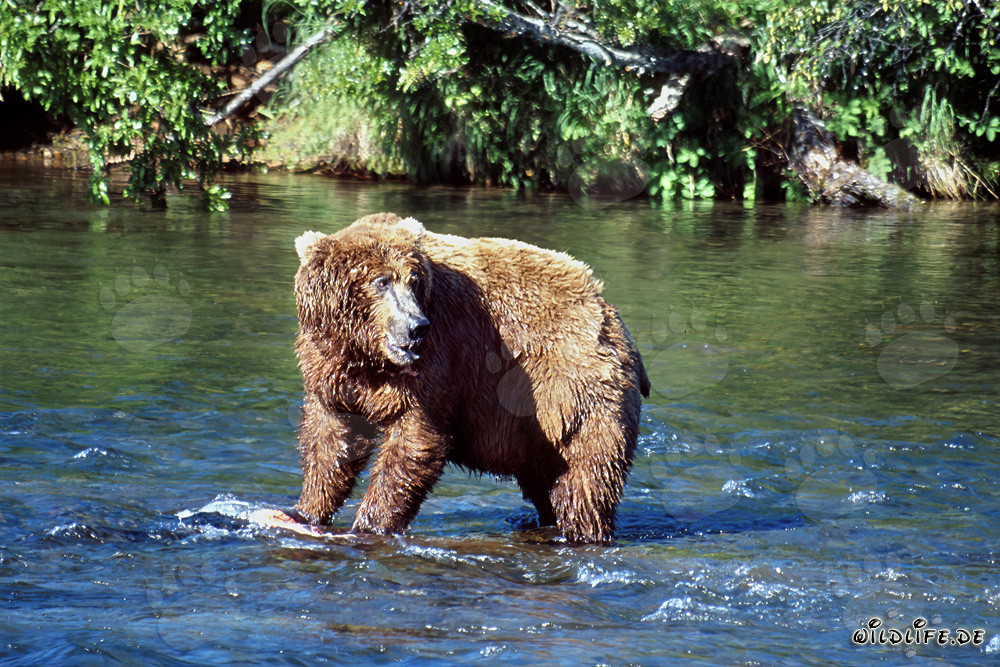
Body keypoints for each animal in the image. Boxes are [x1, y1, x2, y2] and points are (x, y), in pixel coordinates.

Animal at [291, 212, 650, 544]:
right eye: (382, 281)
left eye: (413, 280)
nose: (416, 326)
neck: (368, 355)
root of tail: (608, 311)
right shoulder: (329, 368)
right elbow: (332, 439)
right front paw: (305, 510)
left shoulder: (438, 360)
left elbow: (416, 440)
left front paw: (370, 524)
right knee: (548, 482)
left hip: (573, 390)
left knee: (584, 480)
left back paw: (584, 531)